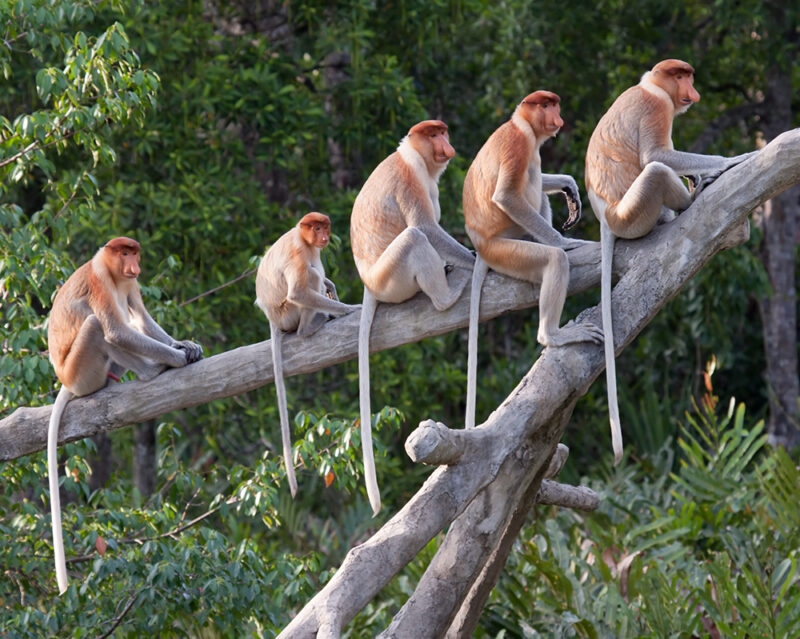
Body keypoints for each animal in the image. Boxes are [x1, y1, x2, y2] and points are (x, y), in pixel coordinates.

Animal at [46, 237, 203, 594]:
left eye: (134, 253)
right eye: (124, 252)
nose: (133, 264)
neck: (114, 272)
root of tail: (65, 379)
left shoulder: (131, 283)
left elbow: (142, 318)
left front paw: (185, 345)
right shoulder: (100, 281)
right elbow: (117, 330)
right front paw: (175, 358)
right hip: (82, 372)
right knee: (98, 326)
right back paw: (151, 370)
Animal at [255, 212, 359, 498]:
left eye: (325, 227)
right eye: (316, 228)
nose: (323, 236)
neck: (302, 237)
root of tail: (272, 319)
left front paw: (332, 287)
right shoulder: (299, 252)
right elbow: (299, 291)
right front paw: (348, 308)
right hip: (288, 313)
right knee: (309, 278)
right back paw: (311, 326)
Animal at [350, 119, 475, 514]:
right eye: (433, 134)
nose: (446, 146)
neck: (412, 156)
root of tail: (369, 283)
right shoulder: (409, 179)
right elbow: (427, 227)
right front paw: (474, 259)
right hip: (393, 278)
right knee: (415, 237)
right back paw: (447, 294)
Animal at [462, 91, 604, 429]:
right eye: (547, 106)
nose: (558, 117)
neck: (521, 124)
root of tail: (481, 246)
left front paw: (569, 186)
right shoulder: (520, 144)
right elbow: (507, 196)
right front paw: (565, 242)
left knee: (538, 189)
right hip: (507, 248)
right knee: (551, 256)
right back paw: (553, 334)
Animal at [585, 59, 757, 463]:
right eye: (681, 77)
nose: (693, 91)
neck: (651, 86)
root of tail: (606, 218)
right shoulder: (657, 108)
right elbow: (656, 156)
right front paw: (728, 162)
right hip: (634, 214)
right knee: (656, 171)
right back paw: (690, 198)